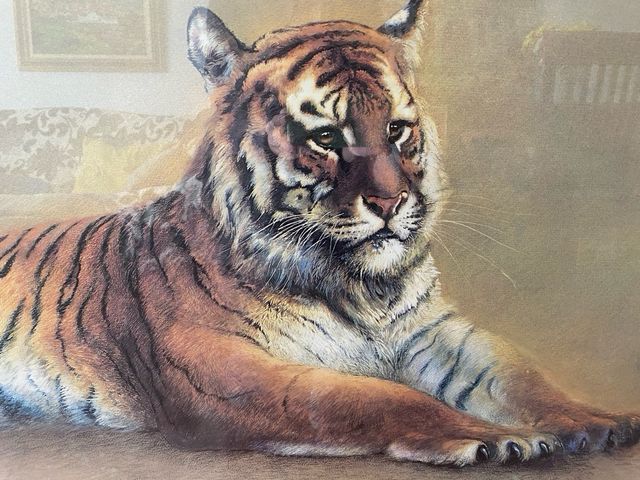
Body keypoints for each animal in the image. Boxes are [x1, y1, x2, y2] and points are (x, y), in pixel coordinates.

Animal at [0, 0, 638, 467]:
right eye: (327, 137)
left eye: (397, 130)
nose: (390, 202)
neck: (366, 287)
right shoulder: (224, 364)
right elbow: (373, 396)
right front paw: (493, 437)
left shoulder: (432, 330)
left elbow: (517, 374)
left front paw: (595, 421)